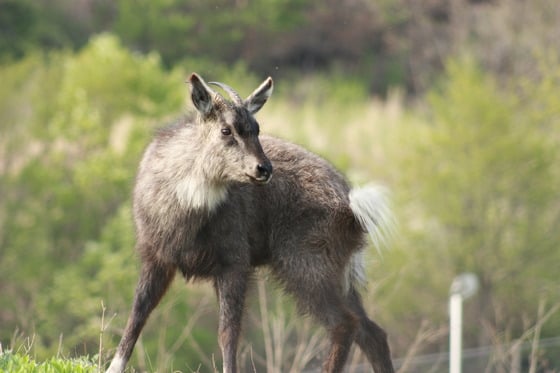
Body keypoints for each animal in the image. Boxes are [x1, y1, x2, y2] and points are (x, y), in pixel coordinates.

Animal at [105, 72, 394, 372]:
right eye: (226, 130)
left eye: (256, 128)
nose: (264, 169)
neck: (186, 202)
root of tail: (352, 205)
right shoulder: (157, 257)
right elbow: (137, 314)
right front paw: (114, 366)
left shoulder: (234, 263)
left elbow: (228, 333)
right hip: (336, 275)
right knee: (371, 332)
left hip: (307, 267)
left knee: (345, 325)